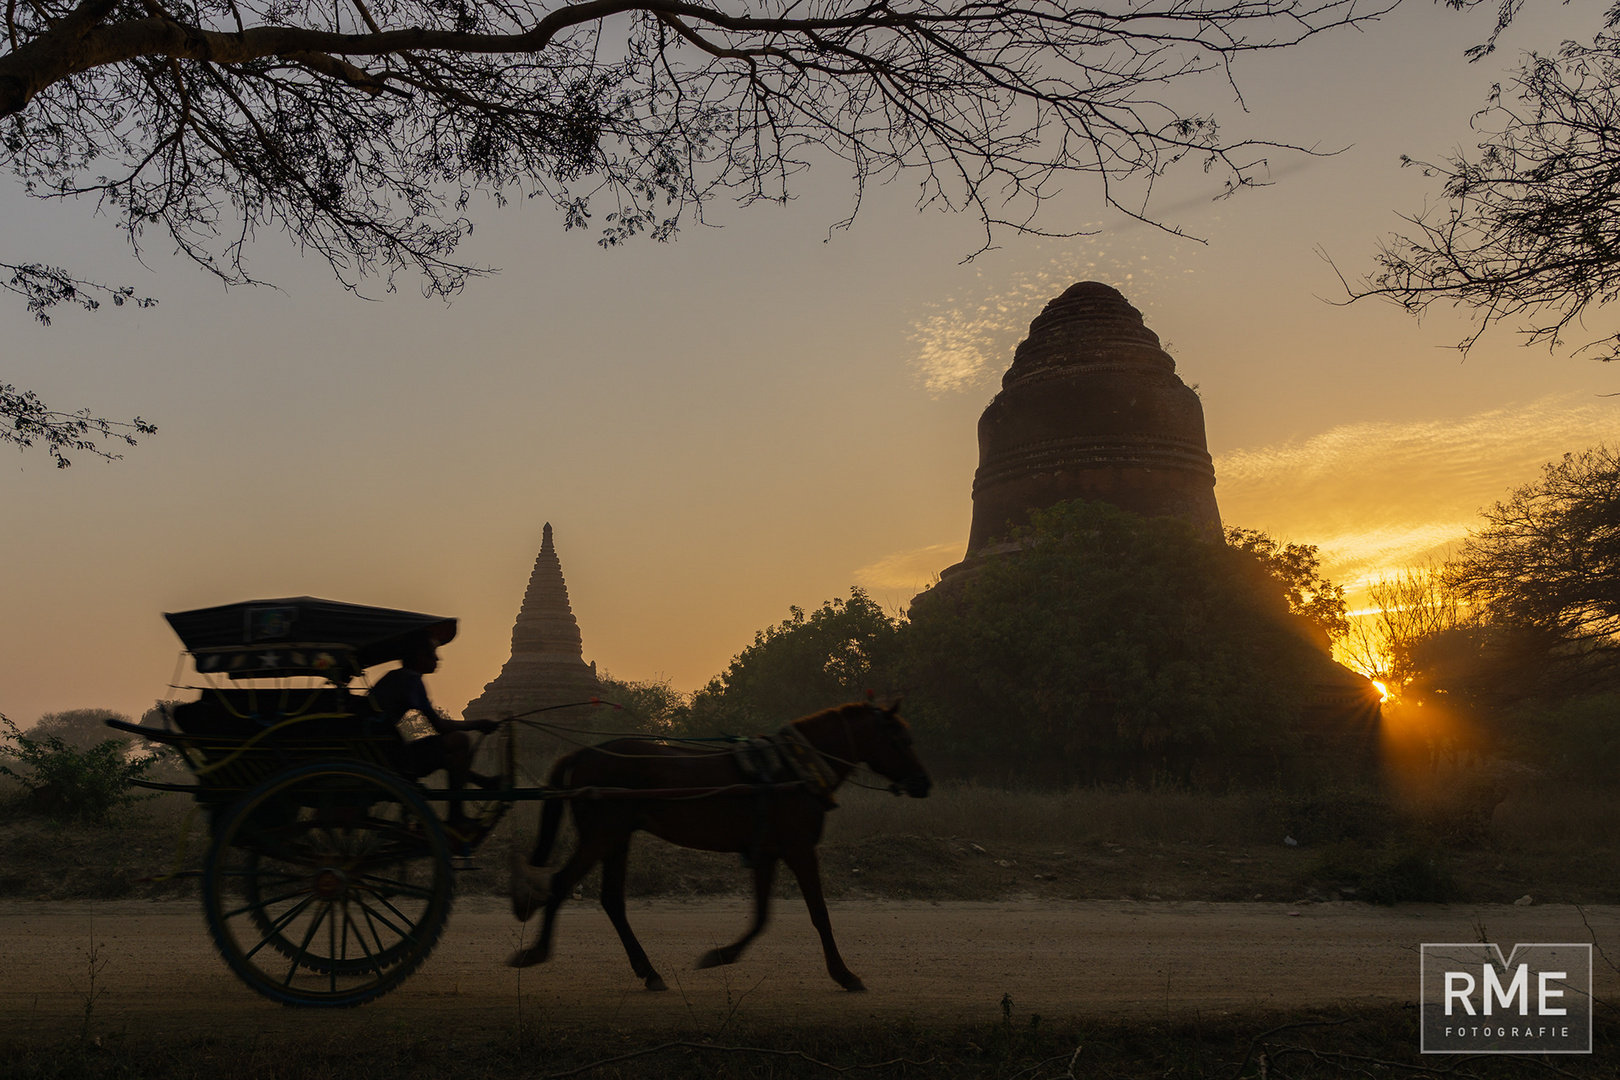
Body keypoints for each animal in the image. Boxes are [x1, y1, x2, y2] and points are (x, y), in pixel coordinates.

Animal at [511, 705, 933, 990]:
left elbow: (762, 915)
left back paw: (649, 972)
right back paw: (536, 952)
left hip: (617, 837)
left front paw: (721, 955)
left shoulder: (767, 853)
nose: (923, 783)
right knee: (562, 883)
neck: (795, 771)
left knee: (612, 900)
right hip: (602, 836)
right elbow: (819, 914)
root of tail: (583, 753)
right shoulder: (799, 849)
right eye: (901, 739)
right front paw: (844, 974)